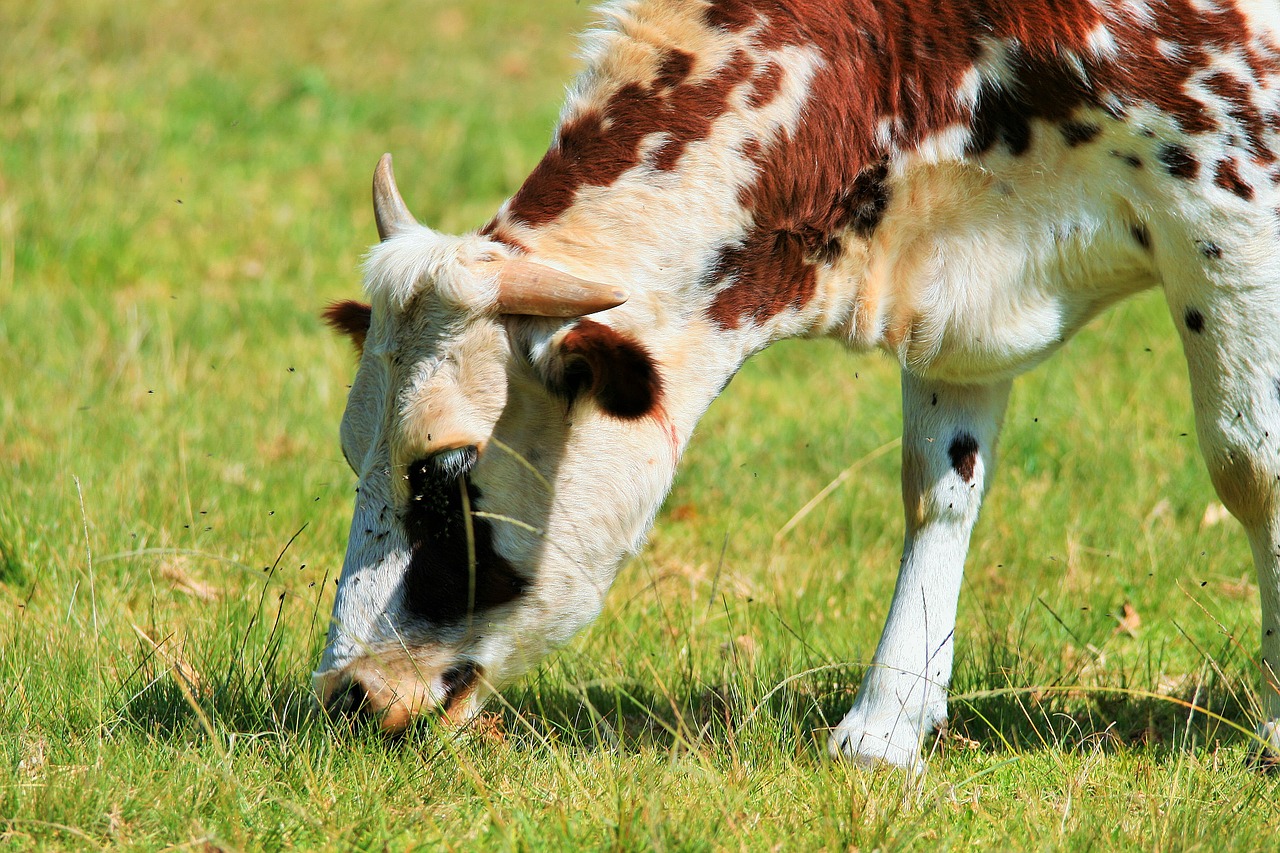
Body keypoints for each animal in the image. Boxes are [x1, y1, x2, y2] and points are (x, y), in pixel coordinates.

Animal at [314, 0, 1280, 768]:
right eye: (352, 450)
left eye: (444, 468)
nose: (345, 691)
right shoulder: (961, 291)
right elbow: (938, 488)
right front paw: (885, 727)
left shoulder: (1232, 210)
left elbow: (1252, 467)